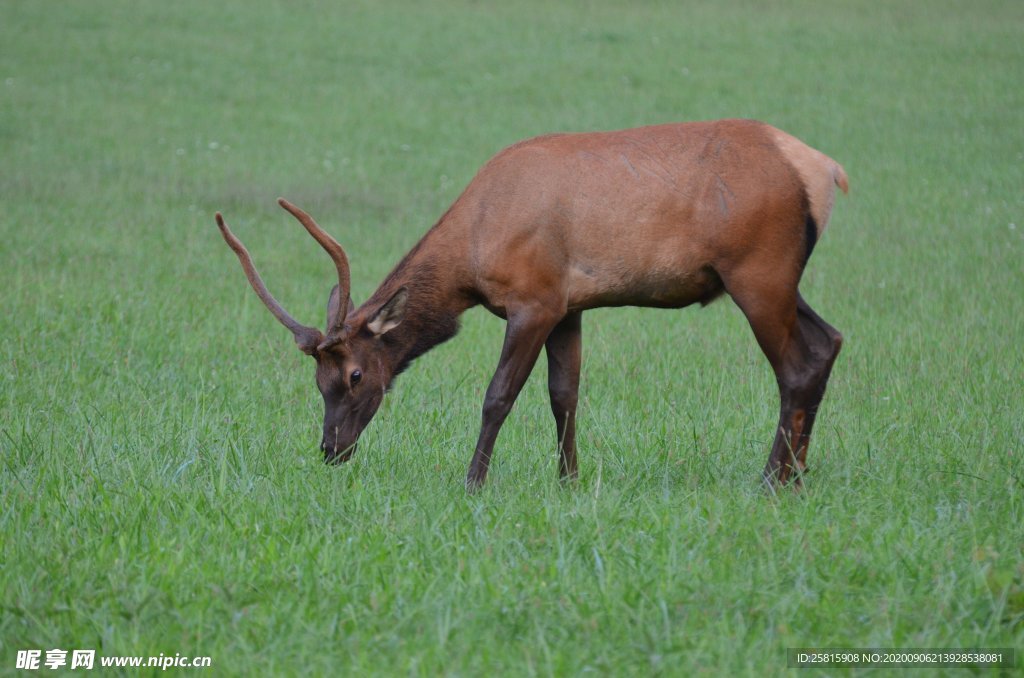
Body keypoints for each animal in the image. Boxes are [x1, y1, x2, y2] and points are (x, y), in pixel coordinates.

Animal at [216, 116, 847, 489]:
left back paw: (771, 480)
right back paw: (799, 474)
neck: (473, 254)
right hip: (778, 277)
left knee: (794, 366)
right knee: (828, 342)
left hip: (758, 271)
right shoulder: (570, 306)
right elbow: (564, 396)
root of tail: (826, 169)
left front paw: (473, 482)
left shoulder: (534, 301)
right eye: (316, 381)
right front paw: (569, 480)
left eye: (352, 375)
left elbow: (499, 395)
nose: (330, 449)